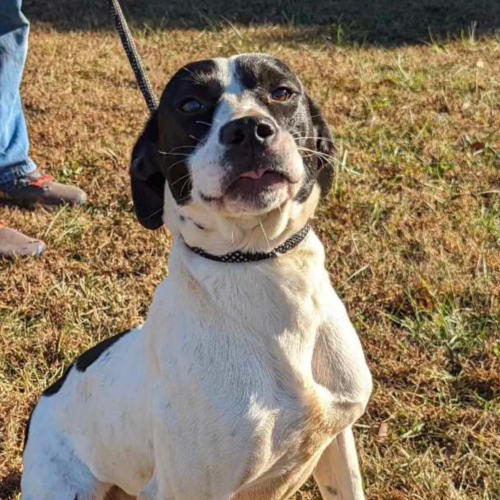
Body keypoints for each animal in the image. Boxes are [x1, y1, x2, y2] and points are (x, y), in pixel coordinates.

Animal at [22, 53, 372, 500]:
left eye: (282, 92)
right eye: (190, 104)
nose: (248, 130)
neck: (258, 265)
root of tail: (42, 402)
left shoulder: (337, 438)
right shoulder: (188, 487)